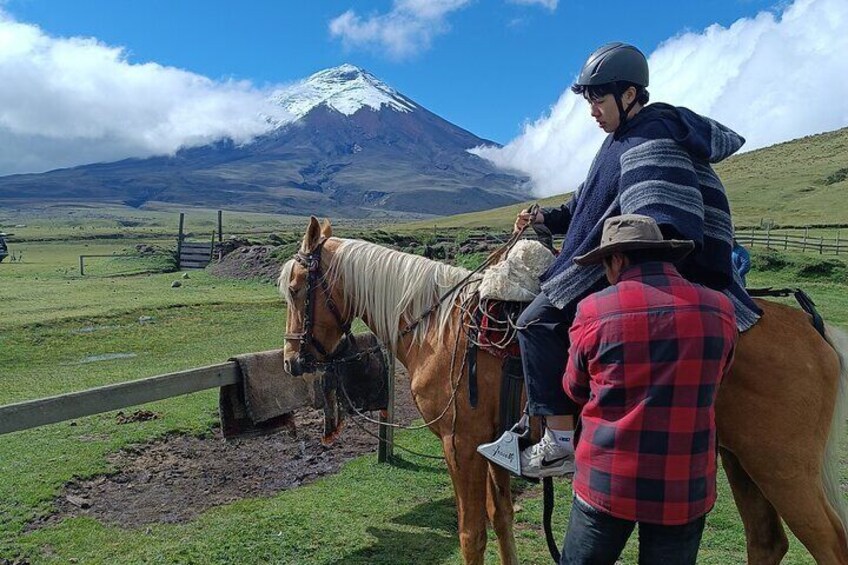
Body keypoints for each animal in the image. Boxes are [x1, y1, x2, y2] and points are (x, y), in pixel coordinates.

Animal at [280, 217, 848, 564]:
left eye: (295, 289)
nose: (291, 361)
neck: (437, 325)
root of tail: (813, 330)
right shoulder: (491, 447)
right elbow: (502, 520)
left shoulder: (459, 445)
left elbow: (472, 533)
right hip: (741, 461)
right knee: (766, 542)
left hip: (784, 468)